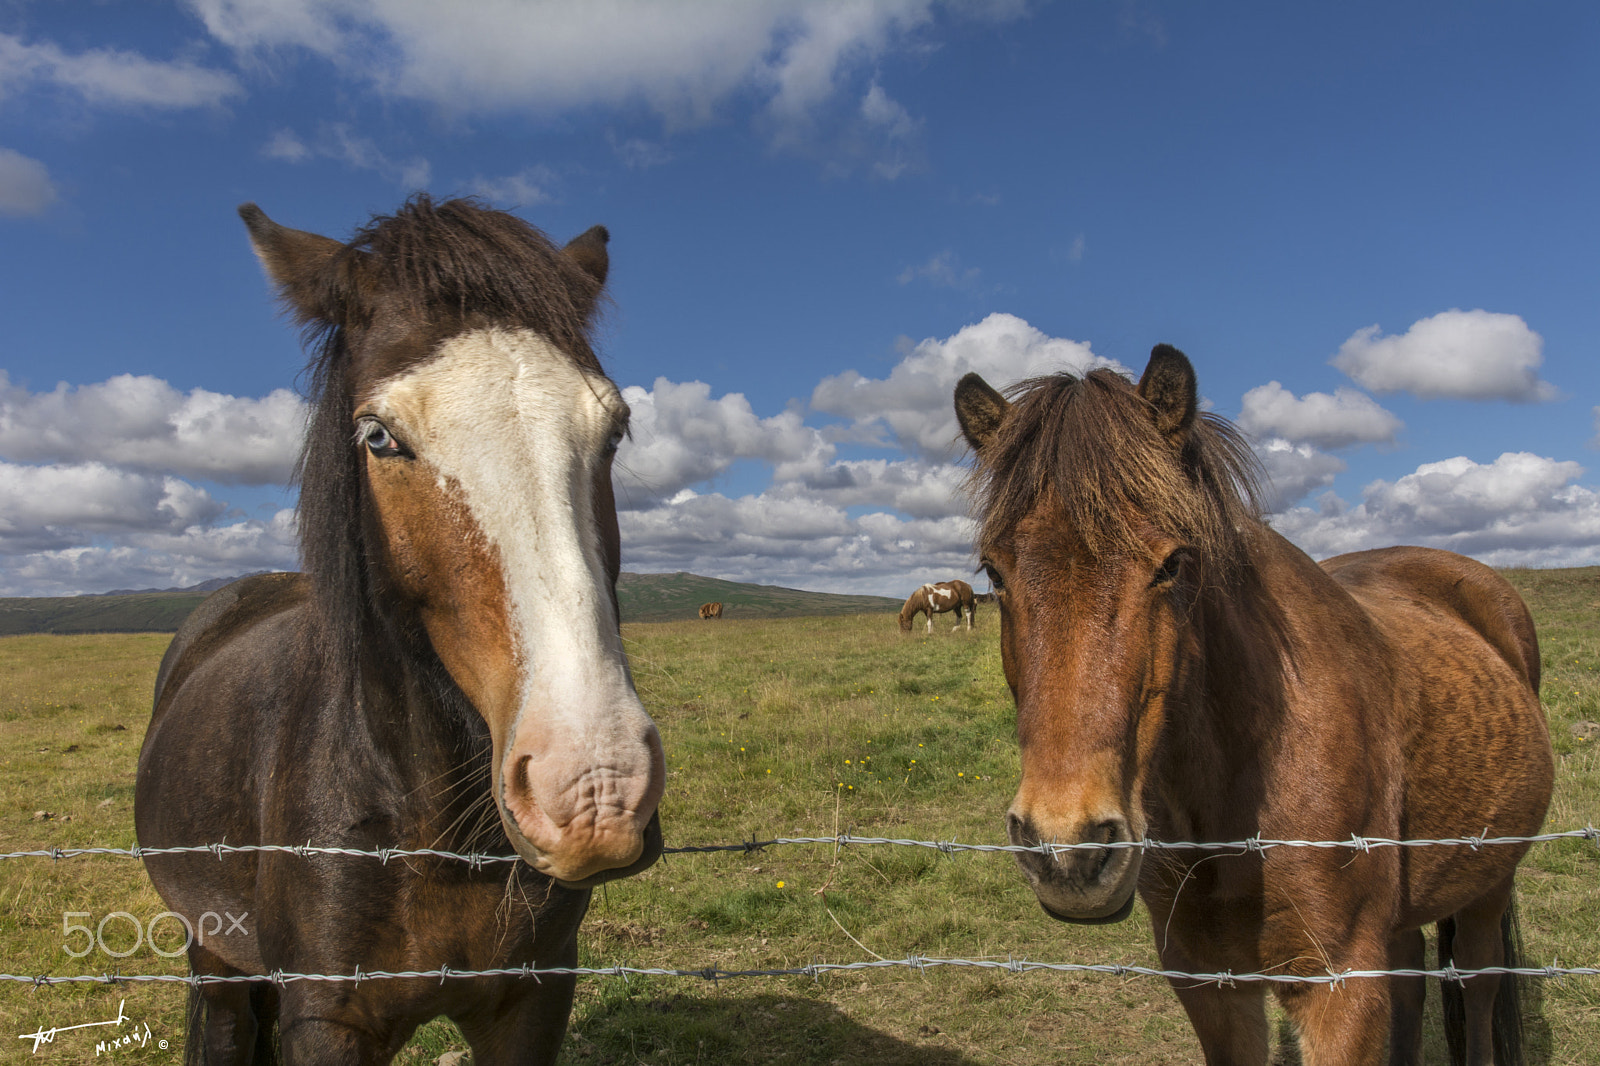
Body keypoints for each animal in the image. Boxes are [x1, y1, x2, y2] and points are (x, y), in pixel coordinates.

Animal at [134, 196, 665, 1062]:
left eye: (614, 429)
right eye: (378, 435)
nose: (596, 789)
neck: (437, 836)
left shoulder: (536, 996)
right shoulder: (327, 1018)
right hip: (213, 953)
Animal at [953, 344, 1555, 1056]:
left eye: (1174, 563)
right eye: (995, 572)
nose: (1067, 850)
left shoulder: (1341, 990)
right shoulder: (1209, 981)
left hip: (1491, 882)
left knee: (1480, 983)